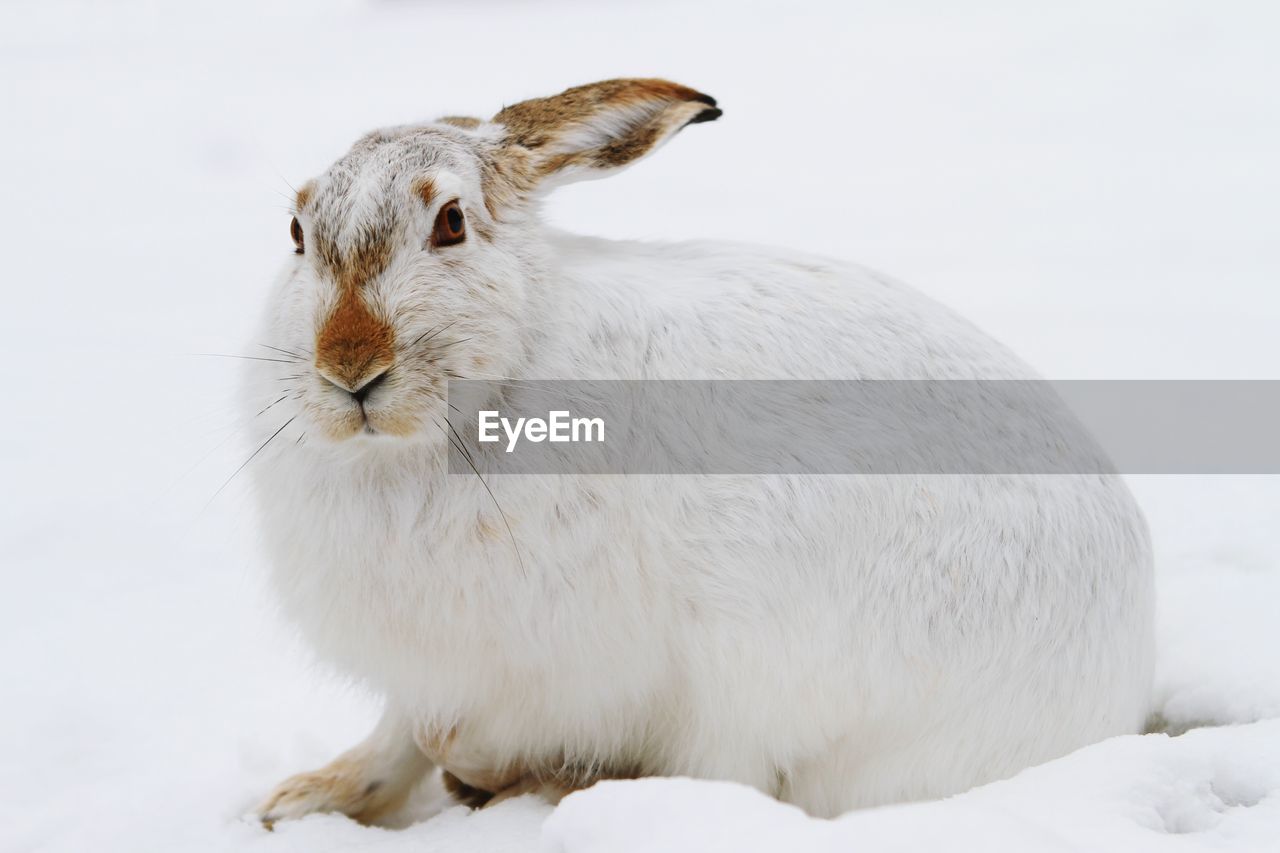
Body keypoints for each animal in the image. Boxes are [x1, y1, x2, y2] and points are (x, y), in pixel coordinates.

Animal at [244, 76, 1157, 819]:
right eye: (295, 233)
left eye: (451, 223)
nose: (349, 368)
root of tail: (1117, 683)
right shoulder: (433, 666)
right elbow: (400, 736)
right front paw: (307, 798)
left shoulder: (553, 663)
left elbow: (449, 734)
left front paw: (484, 775)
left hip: (773, 667)